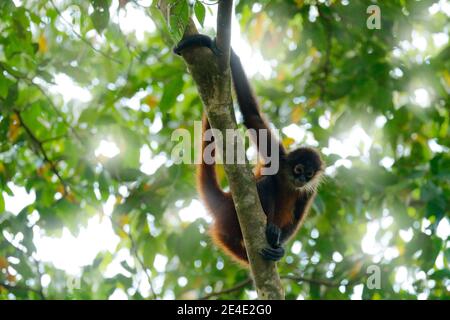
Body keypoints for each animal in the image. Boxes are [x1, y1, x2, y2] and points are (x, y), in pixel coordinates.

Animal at [173, 34, 324, 264]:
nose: (300, 179)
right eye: (298, 170)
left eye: (308, 174)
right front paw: (231, 53)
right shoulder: (277, 156)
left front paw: (280, 247)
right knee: (266, 183)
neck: (289, 180)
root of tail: (226, 202)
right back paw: (269, 228)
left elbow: (298, 216)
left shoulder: (310, 190)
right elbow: (252, 116)